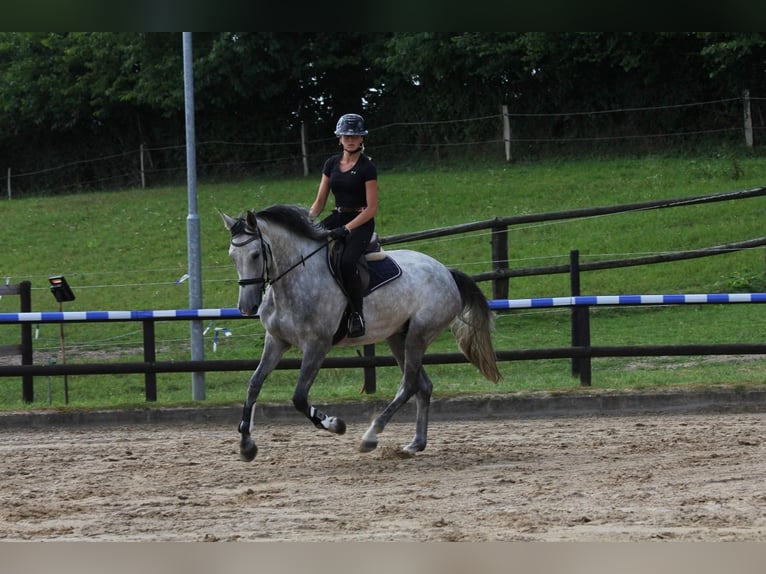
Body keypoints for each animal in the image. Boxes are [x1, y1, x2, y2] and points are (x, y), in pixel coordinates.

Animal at [220, 205, 504, 462]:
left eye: (256, 254)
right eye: (232, 256)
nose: (247, 307)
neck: (296, 279)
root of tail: (446, 272)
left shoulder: (317, 345)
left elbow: (299, 397)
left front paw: (334, 424)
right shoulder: (276, 340)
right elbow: (254, 384)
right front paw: (246, 445)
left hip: (418, 335)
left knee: (409, 384)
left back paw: (370, 436)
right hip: (397, 337)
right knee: (422, 385)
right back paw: (415, 444)